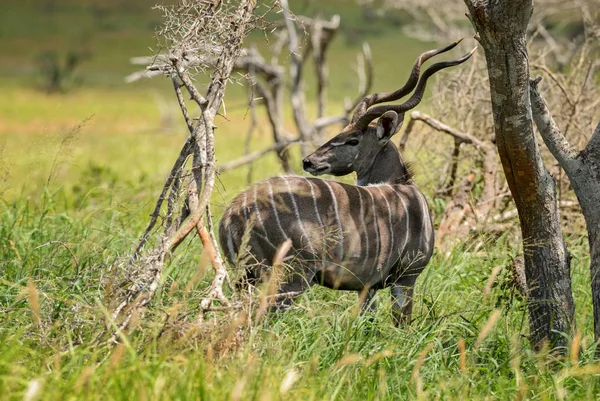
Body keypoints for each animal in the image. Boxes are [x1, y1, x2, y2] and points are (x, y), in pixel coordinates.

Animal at [218, 39, 476, 324]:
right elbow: (402, 325)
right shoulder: (406, 278)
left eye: (353, 139)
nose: (309, 161)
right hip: (288, 279)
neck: (405, 192)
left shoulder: (368, 286)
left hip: (247, 279)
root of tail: (232, 215)